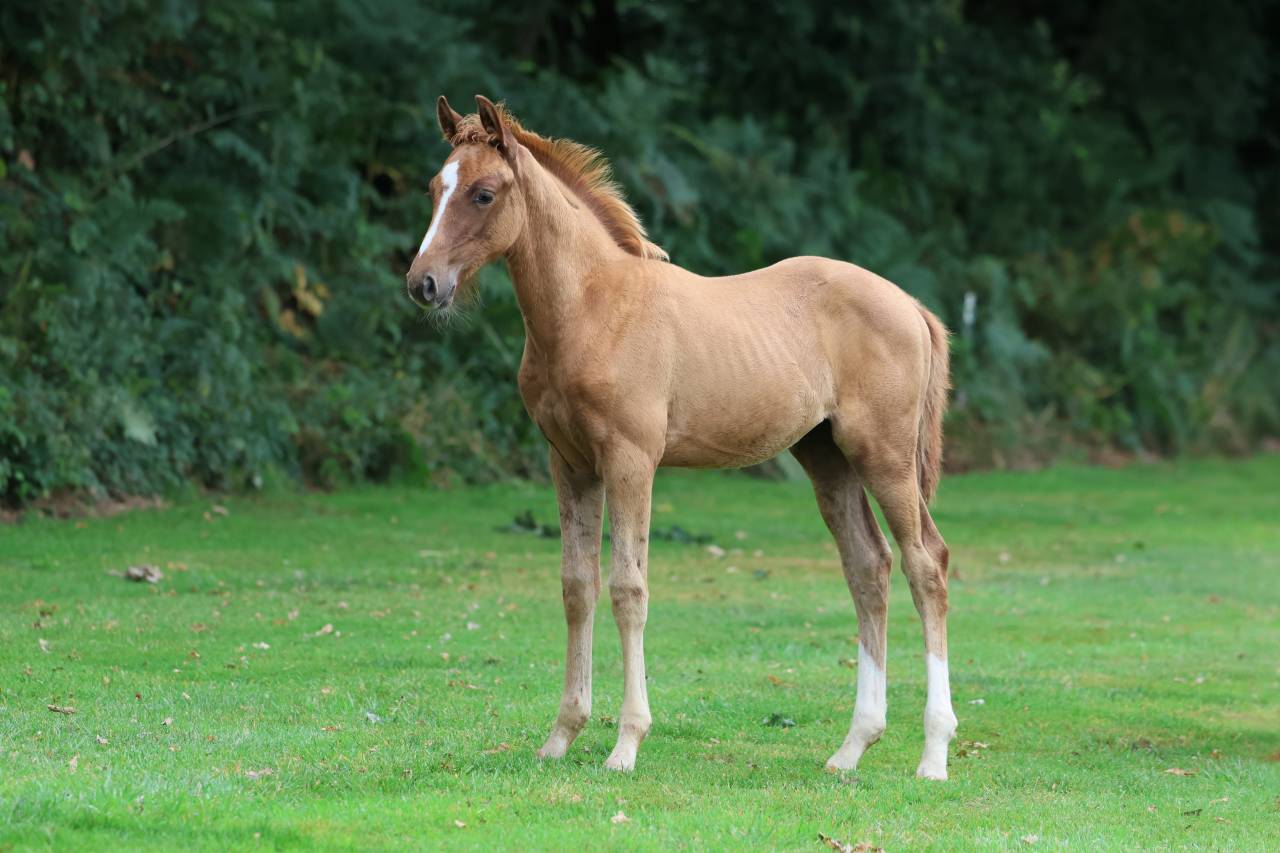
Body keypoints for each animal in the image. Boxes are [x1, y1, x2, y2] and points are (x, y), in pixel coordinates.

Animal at [405, 95, 958, 779]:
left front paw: (625, 744)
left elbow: (628, 587)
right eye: (435, 188)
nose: (423, 283)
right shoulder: (569, 464)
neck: (591, 308)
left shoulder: (630, 460)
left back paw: (933, 754)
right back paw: (852, 747)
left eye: (483, 193)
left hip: (884, 457)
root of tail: (911, 305)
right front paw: (561, 736)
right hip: (827, 458)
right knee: (868, 567)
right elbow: (577, 586)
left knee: (925, 564)